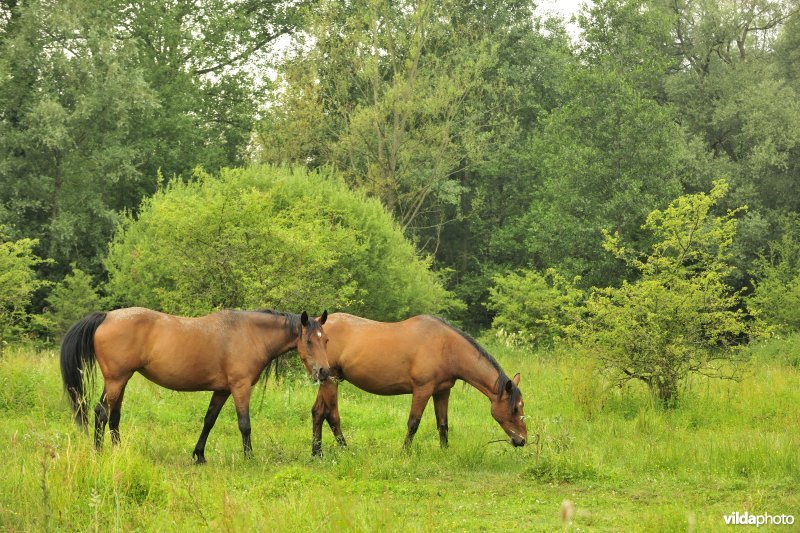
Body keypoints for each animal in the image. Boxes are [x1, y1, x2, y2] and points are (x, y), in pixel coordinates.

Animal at [58, 308, 328, 462]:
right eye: (308, 341)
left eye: (325, 339)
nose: (324, 371)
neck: (249, 333)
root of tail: (107, 316)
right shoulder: (240, 387)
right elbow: (245, 425)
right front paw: (249, 457)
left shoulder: (221, 390)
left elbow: (209, 420)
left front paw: (199, 455)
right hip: (116, 379)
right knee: (102, 413)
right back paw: (99, 453)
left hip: (120, 381)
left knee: (112, 416)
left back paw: (116, 451)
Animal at [310, 314, 528, 456]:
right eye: (515, 408)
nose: (522, 440)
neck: (447, 347)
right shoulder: (423, 390)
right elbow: (413, 423)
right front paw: (404, 453)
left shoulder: (442, 391)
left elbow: (443, 424)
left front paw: (445, 451)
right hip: (331, 381)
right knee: (330, 415)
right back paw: (341, 450)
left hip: (327, 381)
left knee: (318, 412)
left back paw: (316, 452)